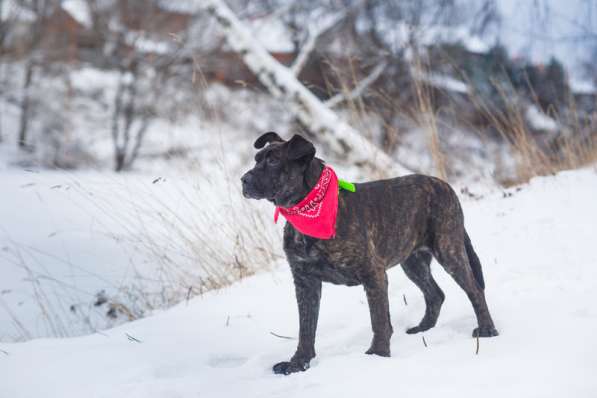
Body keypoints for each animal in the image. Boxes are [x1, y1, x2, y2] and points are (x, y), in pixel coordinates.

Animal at [240, 133, 496, 376]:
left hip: (449, 251)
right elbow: (306, 328)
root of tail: (446, 186)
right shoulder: (305, 281)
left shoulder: (373, 274)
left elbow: (379, 320)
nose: (244, 180)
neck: (308, 210)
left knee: (474, 290)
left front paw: (378, 356)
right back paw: (423, 329)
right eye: (256, 159)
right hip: (413, 262)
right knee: (436, 294)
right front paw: (298, 364)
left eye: (274, 161)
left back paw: (487, 330)